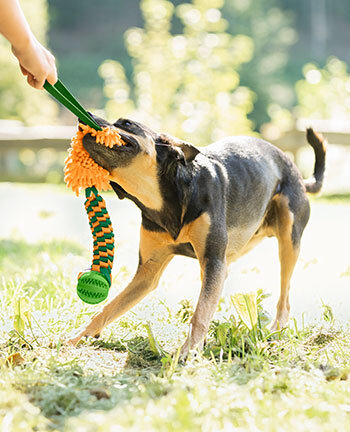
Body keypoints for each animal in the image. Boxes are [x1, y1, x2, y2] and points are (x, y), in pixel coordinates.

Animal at [69, 115, 328, 354]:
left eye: (126, 123)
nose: (86, 116)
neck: (166, 200)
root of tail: (299, 175)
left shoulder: (213, 260)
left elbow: (201, 312)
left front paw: (189, 350)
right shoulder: (148, 273)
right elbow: (110, 307)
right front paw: (79, 337)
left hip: (288, 240)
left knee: (284, 297)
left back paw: (275, 333)